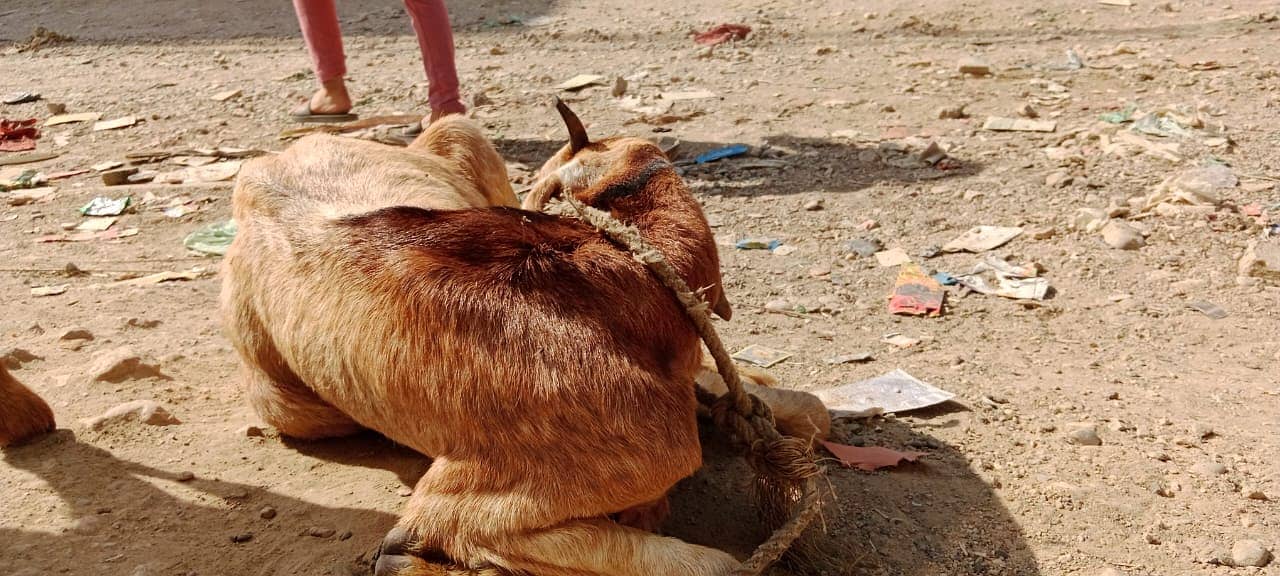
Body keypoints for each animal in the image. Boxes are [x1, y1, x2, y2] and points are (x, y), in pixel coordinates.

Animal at [222, 108, 829, 576]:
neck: (623, 269)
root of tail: (261, 166)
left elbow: (812, 410)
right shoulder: (456, 506)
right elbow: (719, 564)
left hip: (460, 132)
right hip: (286, 405)